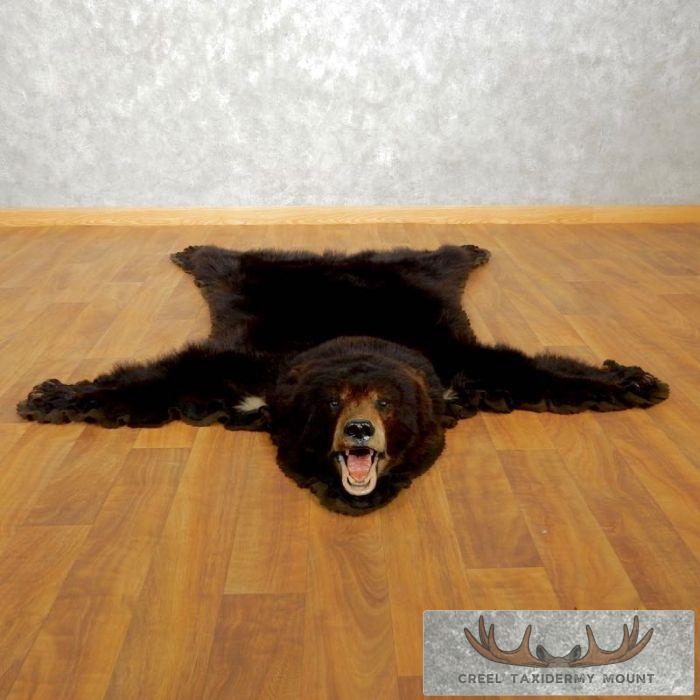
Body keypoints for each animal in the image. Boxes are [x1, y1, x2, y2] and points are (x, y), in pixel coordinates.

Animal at [17, 243, 669, 515]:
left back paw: (472, 246)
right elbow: (157, 378)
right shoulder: (240, 367)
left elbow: (541, 371)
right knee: (222, 258)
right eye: (329, 404)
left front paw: (633, 384)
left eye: (388, 403)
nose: (359, 432)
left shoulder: (461, 364)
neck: (352, 341)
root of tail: (342, 260)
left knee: (444, 255)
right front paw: (58, 396)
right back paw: (191, 249)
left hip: (425, 272)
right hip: (247, 275)